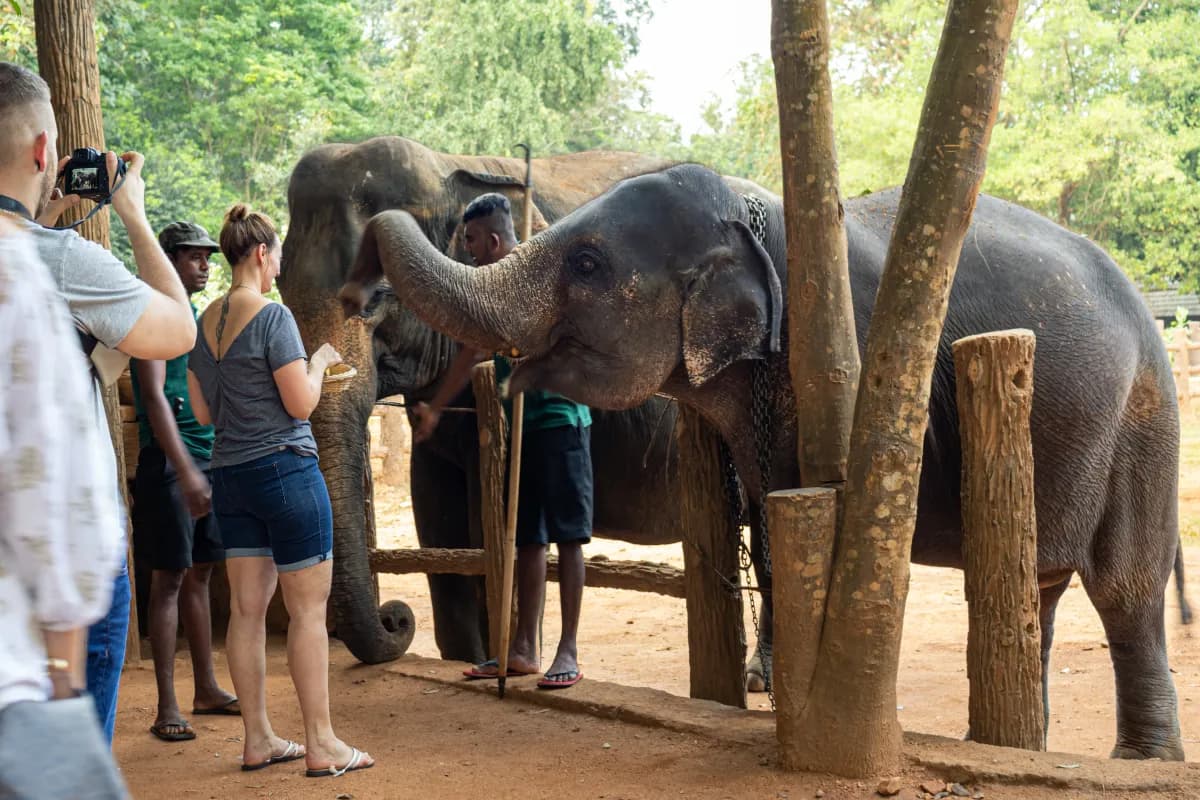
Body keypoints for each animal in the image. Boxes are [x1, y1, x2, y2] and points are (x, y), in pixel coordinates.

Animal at [279, 136, 693, 667]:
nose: (396, 618)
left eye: (379, 297)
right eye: (281, 291)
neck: (451, 166)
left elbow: (487, 528)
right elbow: (436, 516)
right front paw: (465, 661)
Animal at [340, 162, 1191, 761]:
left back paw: (1140, 760)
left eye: (585, 264)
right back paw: (1016, 739)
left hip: (1144, 416)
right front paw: (773, 690)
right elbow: (772, 516)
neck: (760, 213)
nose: (358, 290)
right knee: (1037, 584)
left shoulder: (853, 368)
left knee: (1126, 586)